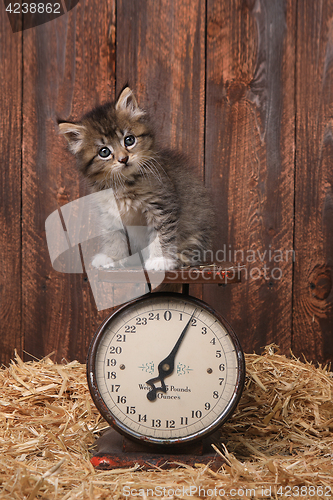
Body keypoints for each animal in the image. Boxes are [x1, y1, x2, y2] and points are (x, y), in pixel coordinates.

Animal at [57, 88, 213, 272]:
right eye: (104, 152)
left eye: (129, 140)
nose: (123, 159)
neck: (123, 184)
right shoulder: (109, 213)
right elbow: (113, 236)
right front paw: (113, 256)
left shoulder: (161, 205)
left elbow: (160, 234)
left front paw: (160, 259)